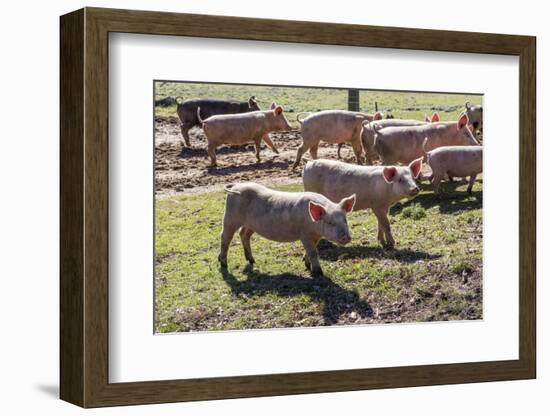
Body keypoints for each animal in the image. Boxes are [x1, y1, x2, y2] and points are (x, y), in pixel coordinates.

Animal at [218, 182, 356, 276]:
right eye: (330, 222)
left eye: (345, 220)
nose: (346, 237)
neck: (314, 224)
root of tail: (236, 186)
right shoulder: (304, 234)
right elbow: (313, 252)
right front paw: (319, 273)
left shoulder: (316, 236)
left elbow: (311, 251)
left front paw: (306, 265)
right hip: (230, 217)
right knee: (225, 237)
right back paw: (223, 264)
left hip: (251, 224)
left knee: (243, 234)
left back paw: (252, 261)